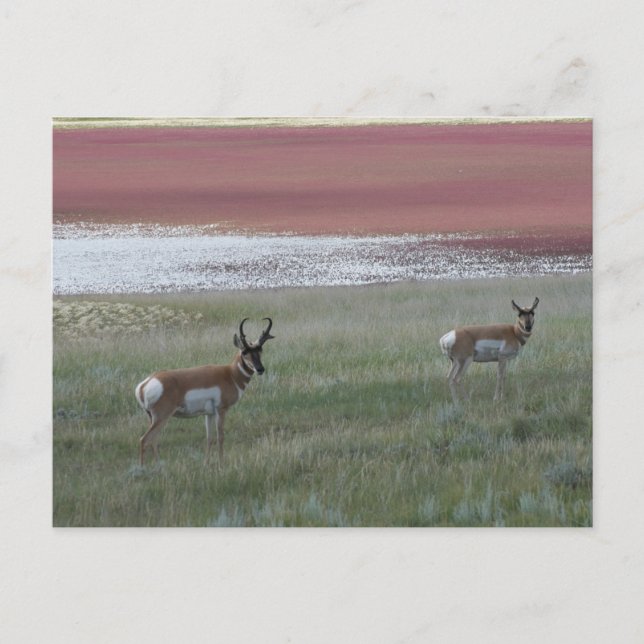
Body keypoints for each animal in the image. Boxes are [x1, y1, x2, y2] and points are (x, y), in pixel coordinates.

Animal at [135, 317, 274, 465]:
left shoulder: (209, 414)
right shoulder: (221, 410)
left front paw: (206, 463)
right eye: (244, 352)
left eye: (260, 349)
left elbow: (209, 438)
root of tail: (145, 384)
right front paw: (221, 463)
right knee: (145, 440)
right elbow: (220, 437)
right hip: (162, 417)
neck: (230, 374)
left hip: (153, 418)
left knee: (153, 441)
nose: (260, 369)